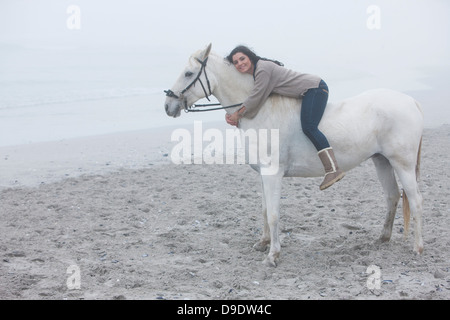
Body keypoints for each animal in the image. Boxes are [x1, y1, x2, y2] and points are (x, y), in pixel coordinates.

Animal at [163, 43, 424, 266]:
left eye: (188, 73)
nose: (168, 105)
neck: (261, 111)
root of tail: (411, 101)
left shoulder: (272, 174)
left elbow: (274, 214)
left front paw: (273, 255)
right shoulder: (263, 175)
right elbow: (264, 210)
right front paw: (263, 243)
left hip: (402, 164)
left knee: (415, 200)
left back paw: (418, 248)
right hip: (382, 161)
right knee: (392, 196)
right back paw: (382, 238)